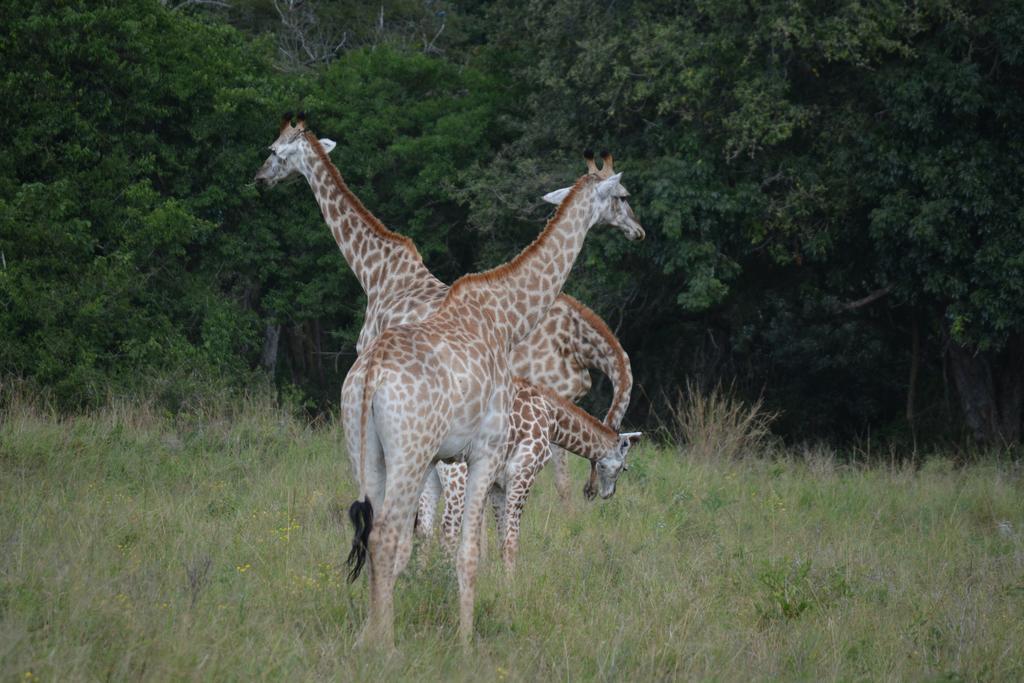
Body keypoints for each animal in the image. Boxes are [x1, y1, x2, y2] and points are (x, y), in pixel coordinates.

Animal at [444, 376, 643, 573]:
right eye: (623, 468)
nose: (604, 493)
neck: (551, 417)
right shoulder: (522, 473)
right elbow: (511, 542)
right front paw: (510, 582)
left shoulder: (497, 485)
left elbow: (501, 539)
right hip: (457, 473)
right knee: (448, 528)